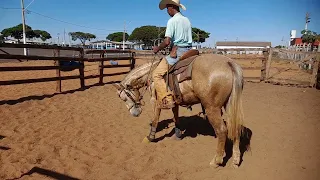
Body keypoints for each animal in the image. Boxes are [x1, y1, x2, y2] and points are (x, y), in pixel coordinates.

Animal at [114, 53, 244, 167]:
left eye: (124, 97)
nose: (134, 114)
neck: (151, 74)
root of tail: (229, 63)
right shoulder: (175, 101)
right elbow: (175, 116)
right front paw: (178, 133)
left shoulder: (156, 102)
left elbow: (155, 120)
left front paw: (150, 137)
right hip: (229, 105)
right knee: (235, 127)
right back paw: (236, 159)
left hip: (212, 108)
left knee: (222, 131)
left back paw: (216, 161)